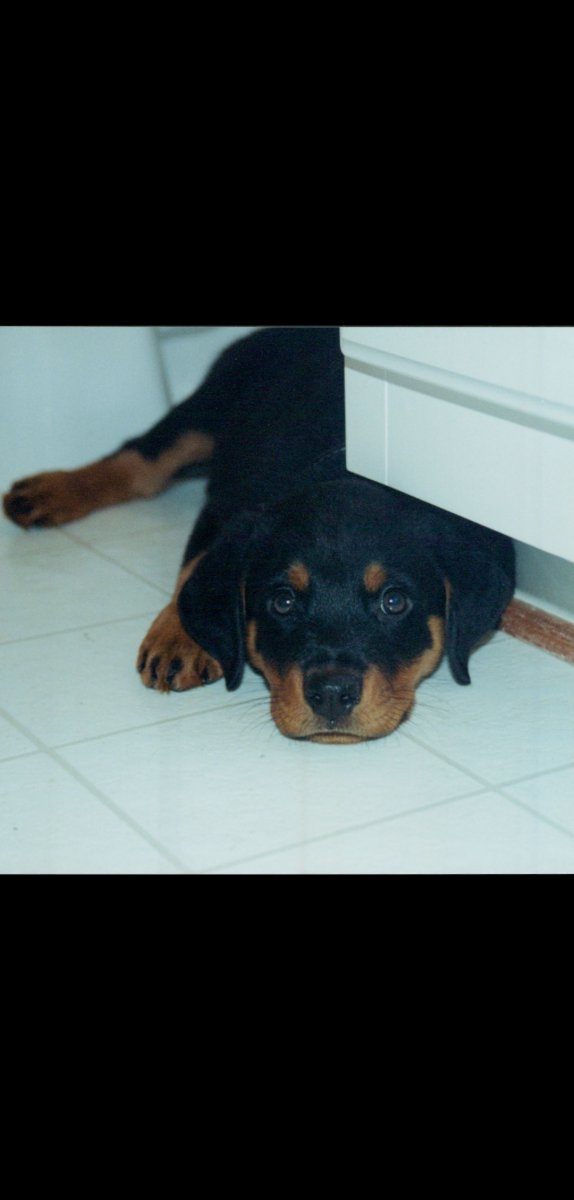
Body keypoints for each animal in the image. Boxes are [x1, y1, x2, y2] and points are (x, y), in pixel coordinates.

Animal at [3, 327, 515, 743]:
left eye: (394, 601)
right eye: (282, 602)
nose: (332, 693)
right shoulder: (225, 506)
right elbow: (197, 562)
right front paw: (177, 635)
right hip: (209, 406)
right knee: (140, 461)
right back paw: (46, 491)